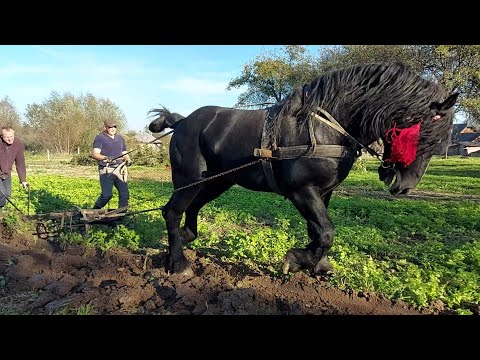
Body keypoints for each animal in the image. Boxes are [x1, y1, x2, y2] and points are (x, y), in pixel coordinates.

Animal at [149, 62, 458, 276]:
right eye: (425, 136)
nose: (404, 186)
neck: (323, 127)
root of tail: (182, 121)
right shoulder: (302, 191)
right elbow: (326, 232)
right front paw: (296, 260)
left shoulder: (323, 193)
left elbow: (317, 231)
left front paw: (318, 266)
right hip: (189, 180)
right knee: (172, 212)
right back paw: (179, 263)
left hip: (215, 182)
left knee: (189, 208)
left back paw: (184, 241)